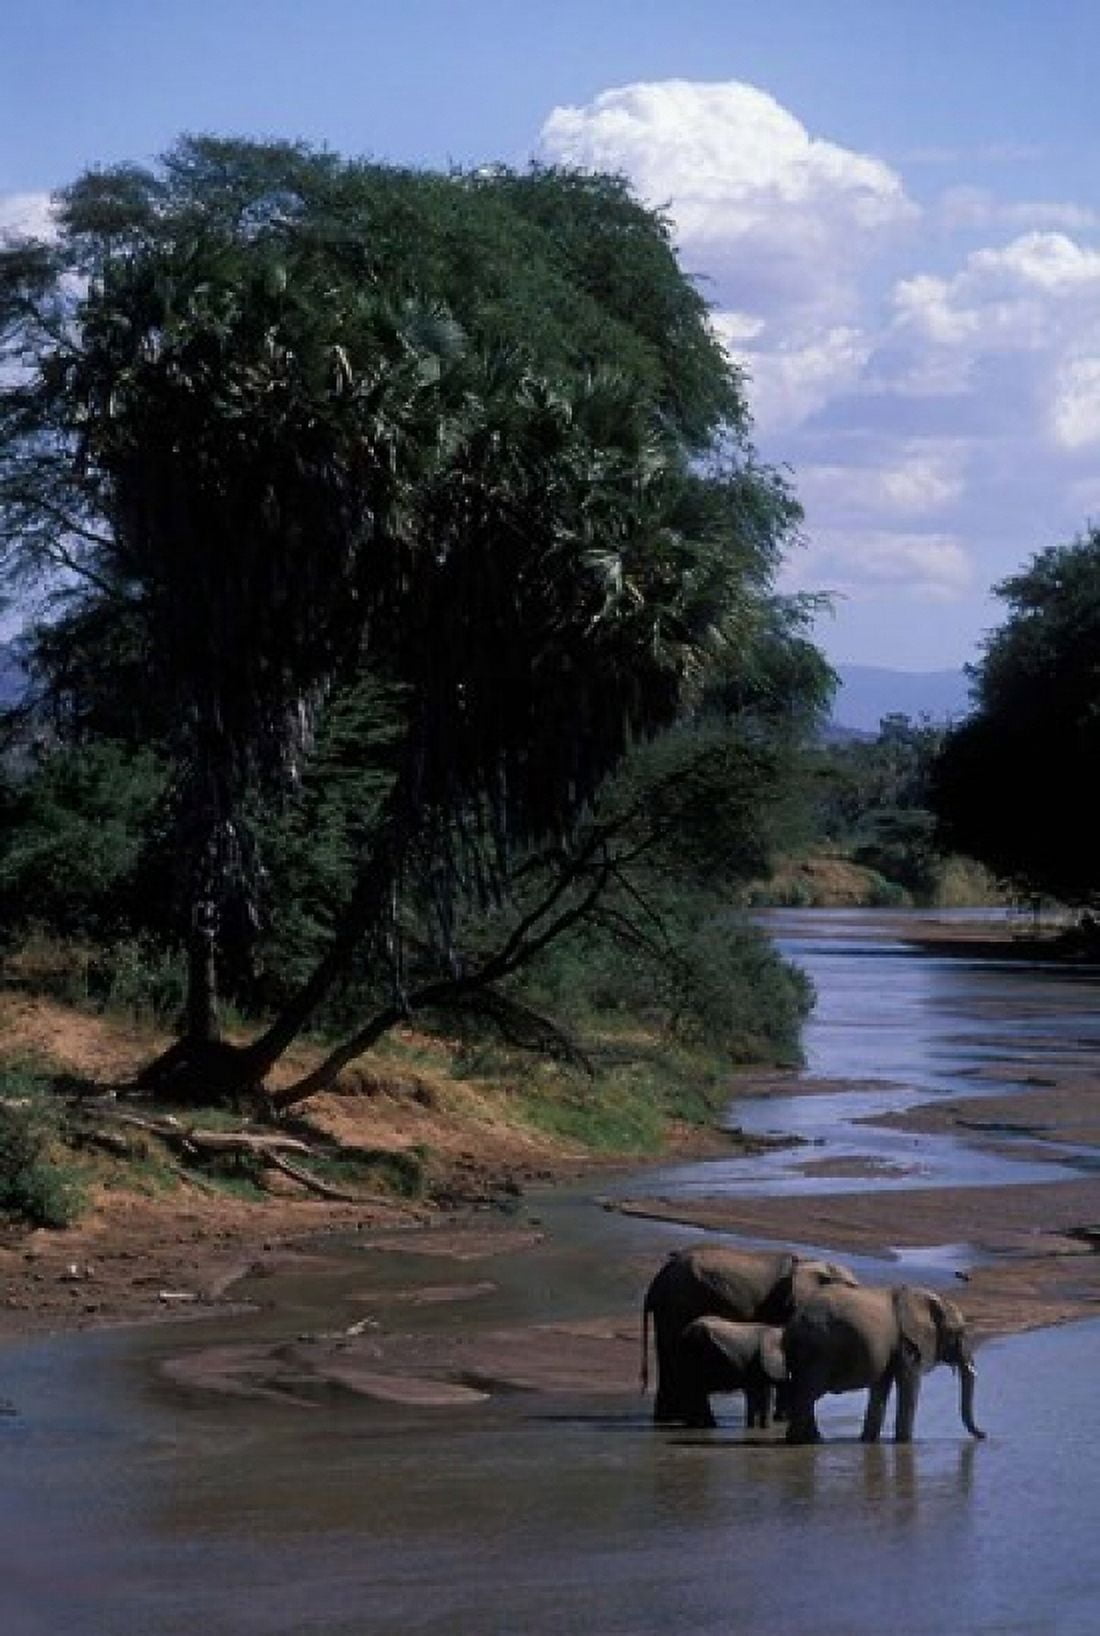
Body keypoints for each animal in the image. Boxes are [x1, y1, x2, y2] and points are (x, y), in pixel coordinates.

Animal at [641, 1243, 859, 1424]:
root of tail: (658, 1280)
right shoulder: (785, 1307)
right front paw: (784, 1420)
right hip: (681, 1304)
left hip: (670, 1308)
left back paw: (667, 1419)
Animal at [781, 1283, 986, 1445]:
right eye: (958, 1332)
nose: (984, 1435)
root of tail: (793, 1321)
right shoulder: (907, 1344)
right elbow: (909, 1384)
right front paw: (905, 1443)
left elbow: (881, 1386)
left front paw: (868, 1441)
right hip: (818, 1349)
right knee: (807, 1393)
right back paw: (800, 1441)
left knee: (803, 1392)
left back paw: (813, 1440)